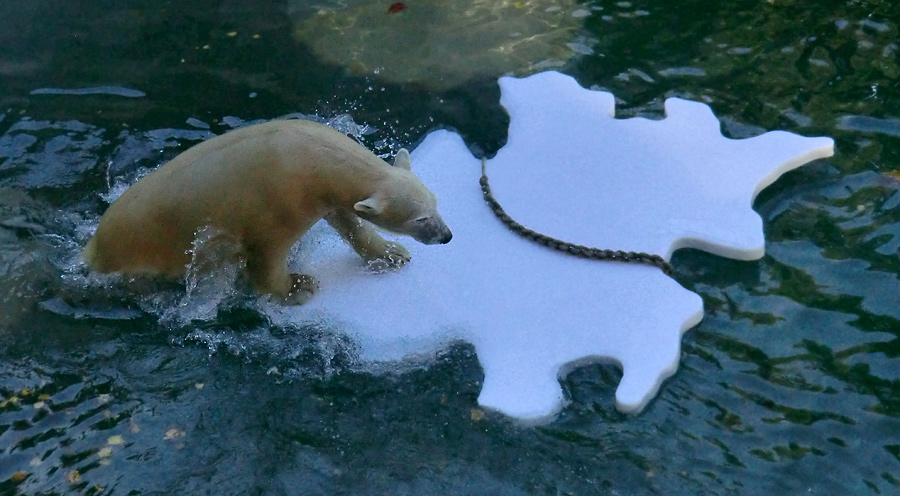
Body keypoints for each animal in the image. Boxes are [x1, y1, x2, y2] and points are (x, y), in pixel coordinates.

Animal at [82, 120, 450, 306]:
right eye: (419, 219)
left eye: (435, 203)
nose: (446, 236)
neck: (306, 152)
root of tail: (93, 248)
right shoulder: (279, 199)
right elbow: (265, 256)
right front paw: (299, 286)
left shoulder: (324, 194)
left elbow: (347, 220)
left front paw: (392, 254)